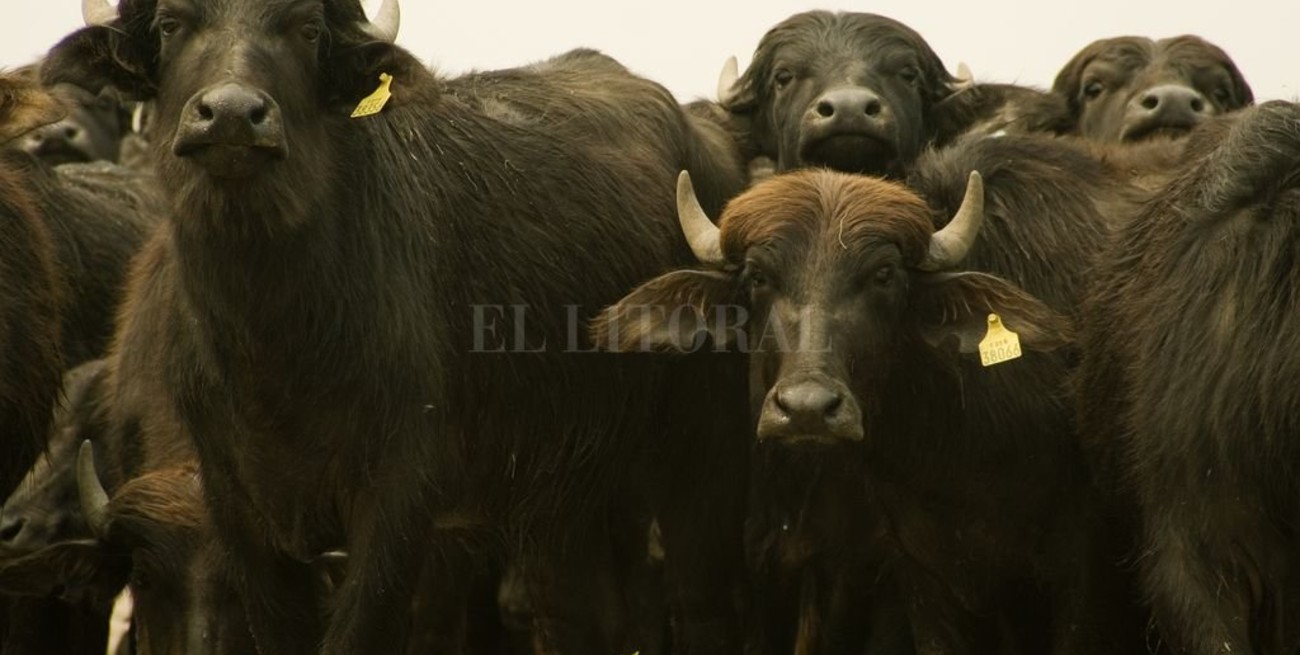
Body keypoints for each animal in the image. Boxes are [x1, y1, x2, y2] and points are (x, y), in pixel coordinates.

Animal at [42, 1, 750, 654]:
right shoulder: (240, 507)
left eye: (307, 28)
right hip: (562, 491)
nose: (234, 114)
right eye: (170, 25)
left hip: (701, 456)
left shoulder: (401, 503)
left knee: (701, 604)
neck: (281, 346)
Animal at [594, 129, 1156, 654]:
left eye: (883, 274)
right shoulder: (923, 574)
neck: (960, 445)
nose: (807, 410)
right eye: (757, 276)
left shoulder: (1086, 567)